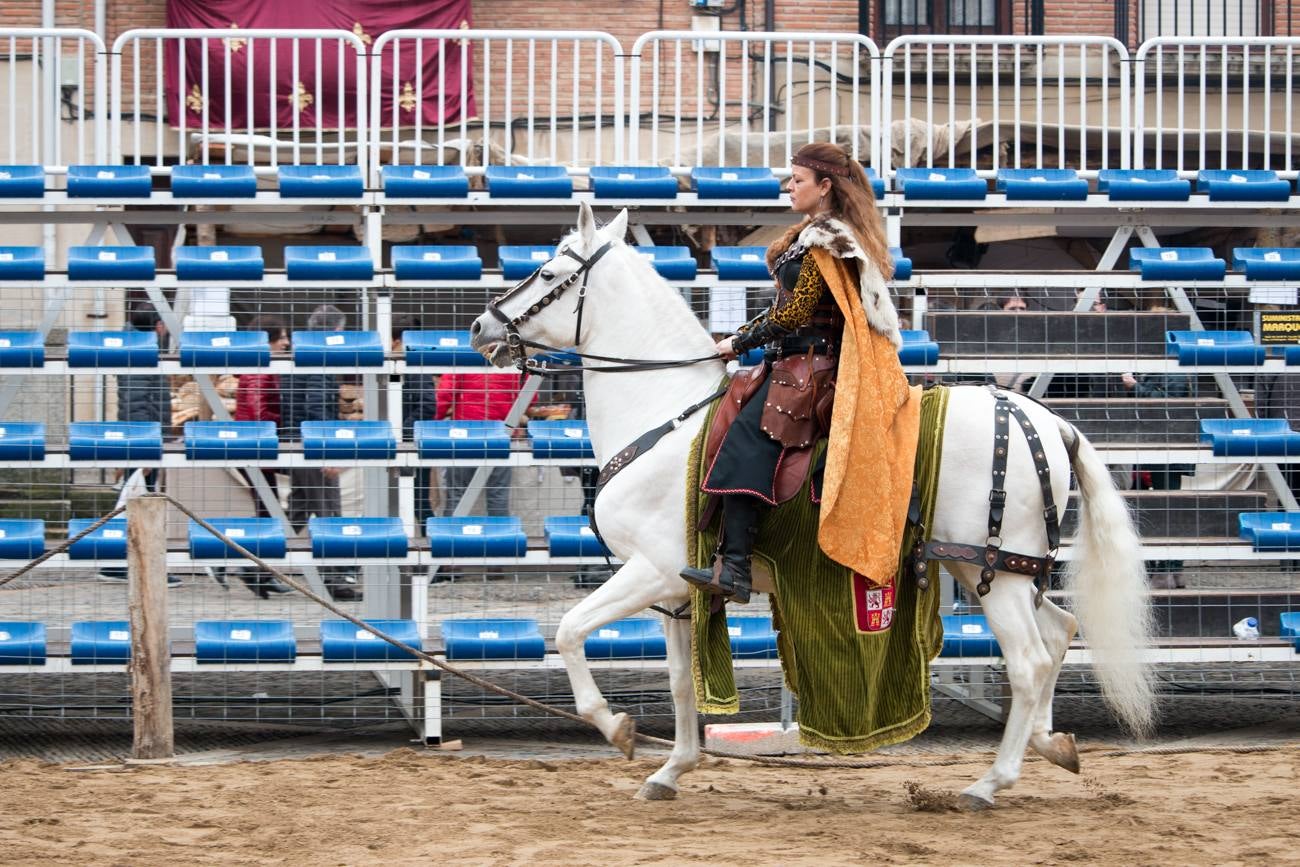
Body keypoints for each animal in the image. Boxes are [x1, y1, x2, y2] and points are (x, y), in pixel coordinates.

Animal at [470, 205, 1159, 816]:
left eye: (551, 272)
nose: (481, 328)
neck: (663, 415)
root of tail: (1041, 419)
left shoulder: (652, 572)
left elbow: (569, 631)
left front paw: (616, 729)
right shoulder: (678, 594)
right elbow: (680, 682)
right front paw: (671, 770)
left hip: (991, 572)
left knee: (1030, 660)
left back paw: (989, 783)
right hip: (1002, 570)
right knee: (1060, 632)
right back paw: (1051, 744)